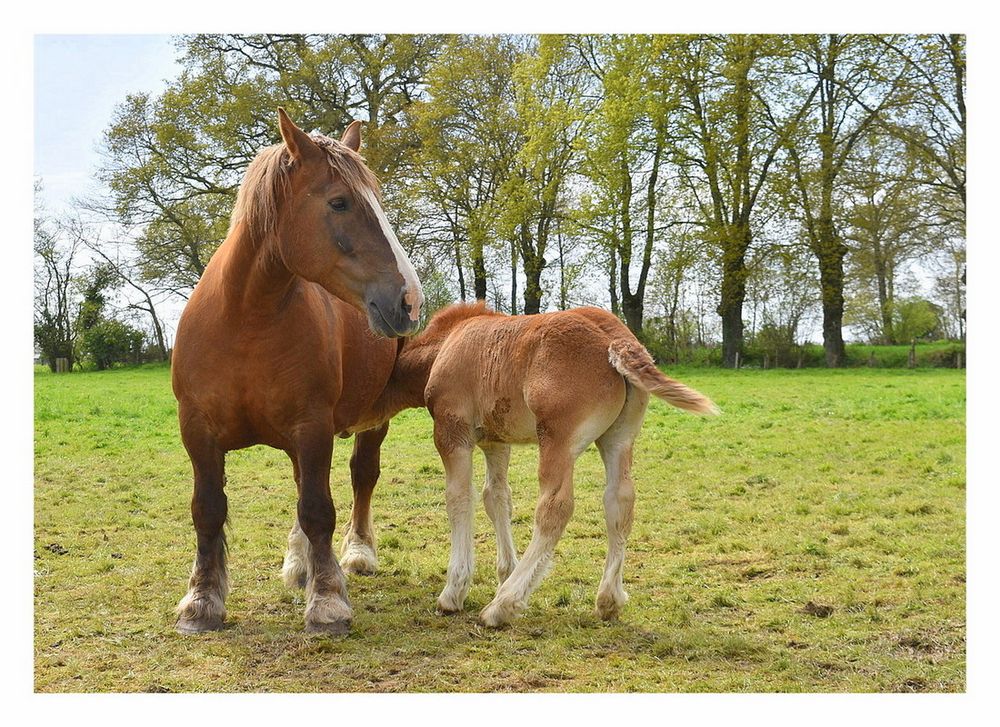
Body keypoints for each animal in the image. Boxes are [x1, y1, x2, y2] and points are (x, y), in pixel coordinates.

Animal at [173, 109, 422, 636]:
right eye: (339, 201)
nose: (409, 300)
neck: (245, 321)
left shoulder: (313, 426)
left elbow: (318, 509)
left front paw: (328, 602)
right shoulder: (198, 431)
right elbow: (207, 510)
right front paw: (202, 601)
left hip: (372, 419)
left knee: (361, 475)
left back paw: (357, 553)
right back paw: (300, 563)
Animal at [360, 304, 720, 628]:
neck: (444, 347)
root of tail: (614, 335)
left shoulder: (453, 433)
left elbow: (459, 498)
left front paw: (455, 591)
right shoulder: (495, 440)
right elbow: (496, 497)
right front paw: (506, 571)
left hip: (557, 441)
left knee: (554, 509)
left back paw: (502, 606)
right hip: (619, 439)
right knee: (619, 502)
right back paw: (608, 600)